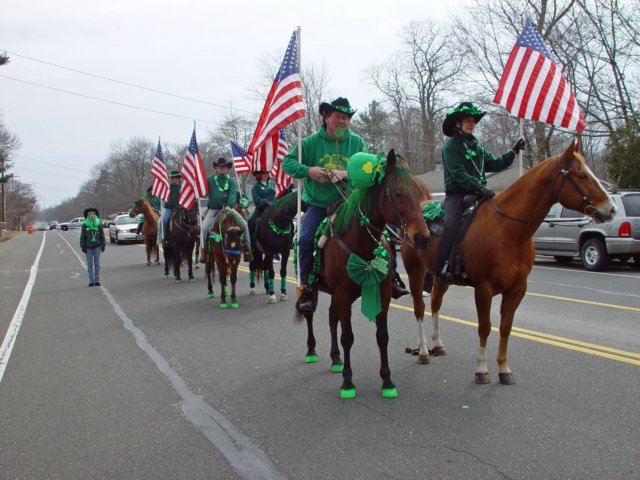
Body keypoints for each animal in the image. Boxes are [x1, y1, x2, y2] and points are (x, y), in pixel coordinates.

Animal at [298, 150, 430, 398]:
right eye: (397, 193)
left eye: (418, 192)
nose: (422, 238)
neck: (360, 242)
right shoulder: (343, 294)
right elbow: (348, 337)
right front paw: (348, 382)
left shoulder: (382, 292)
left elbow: (382, 336)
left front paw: (387, 381)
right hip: (313, 288)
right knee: (310, 314)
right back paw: (311, 350)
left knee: (331, 318)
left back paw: (336, 359)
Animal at [402, 138, 616, 382]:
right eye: (581, 176)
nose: (611, 209)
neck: (507, 228)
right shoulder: (483, 289)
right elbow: (485, 327)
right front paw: (482, 369)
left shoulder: (517, 288)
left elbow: (505, 326)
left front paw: (504, 369)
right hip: (415, 271)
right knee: (419, 307)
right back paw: (423, 351)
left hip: (440, 275)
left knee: (435, 303)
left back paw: (438, 345)